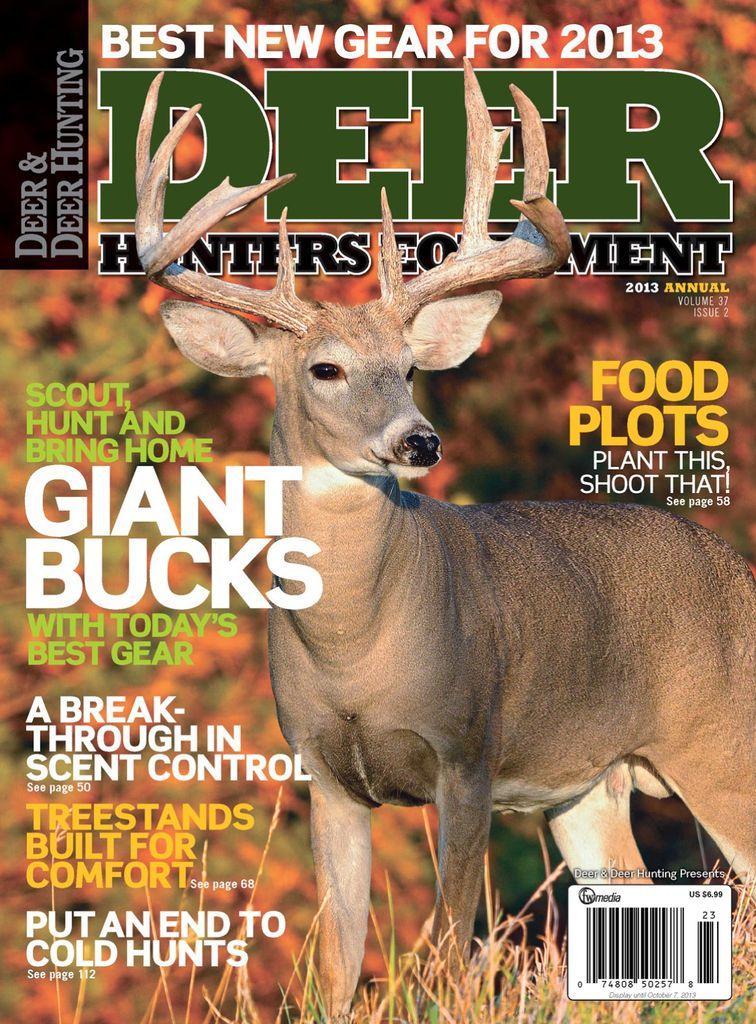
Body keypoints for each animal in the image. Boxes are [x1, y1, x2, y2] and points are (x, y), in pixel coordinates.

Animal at [134, 63, 756, 1019]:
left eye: (411, 368)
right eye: (325, 368)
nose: (419, 442)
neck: (356, 650)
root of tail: (742, 573)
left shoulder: (469, 749)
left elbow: (450, 947)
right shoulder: (324, 774)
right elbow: (339, 965)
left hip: (722, 738)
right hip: (593, 784)